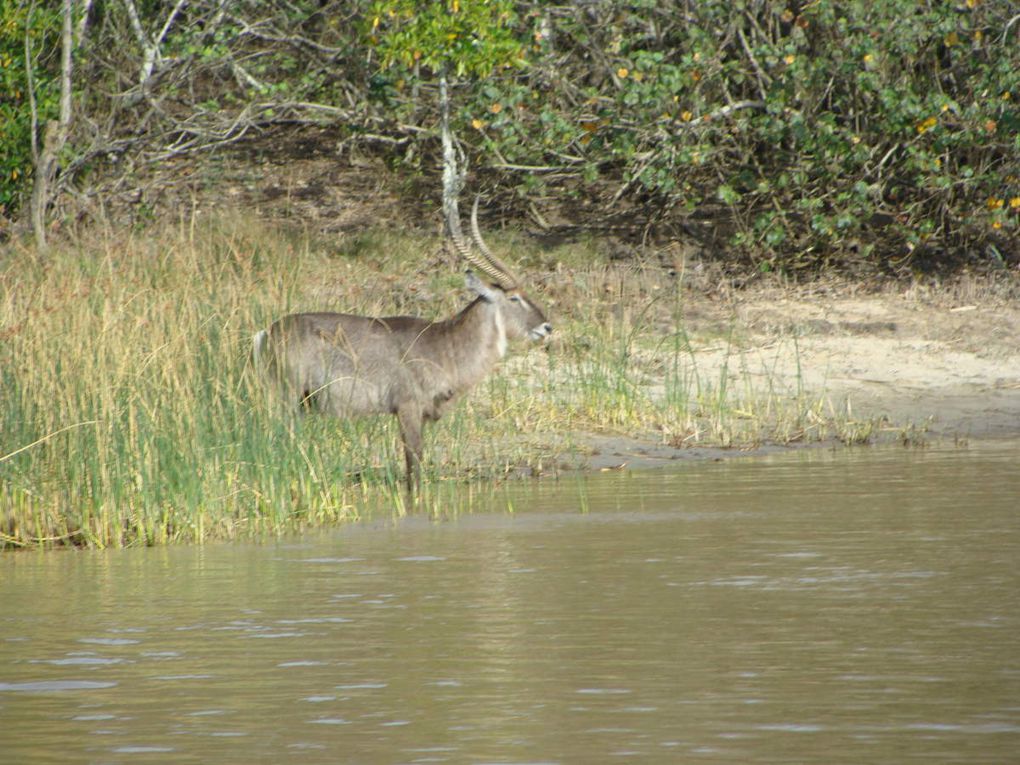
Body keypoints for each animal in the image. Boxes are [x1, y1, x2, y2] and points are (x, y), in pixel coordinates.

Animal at [253, 197, 554, 493]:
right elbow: (414, 465)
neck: (446, 345)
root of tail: (267, 332)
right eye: (514, 297)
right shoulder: (408, 407)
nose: (546, 327)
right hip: (285, 396)